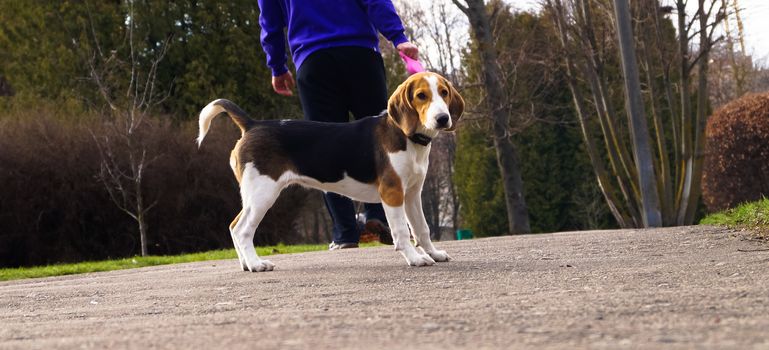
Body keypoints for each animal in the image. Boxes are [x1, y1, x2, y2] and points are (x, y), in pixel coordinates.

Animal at [198, 72, 462, 272]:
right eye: (421, 96)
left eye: (444, 93)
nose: (442, 118)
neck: (408, 137)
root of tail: (253, 124)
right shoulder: (392, 192)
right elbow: (401, 232)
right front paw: (415, 258)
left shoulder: (412, 194)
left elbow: (422, 229)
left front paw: (434, 253)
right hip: (263, 193)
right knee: (243, 230)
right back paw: (256, 264)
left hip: (253, 194)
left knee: (234, 226)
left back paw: (245, 264)